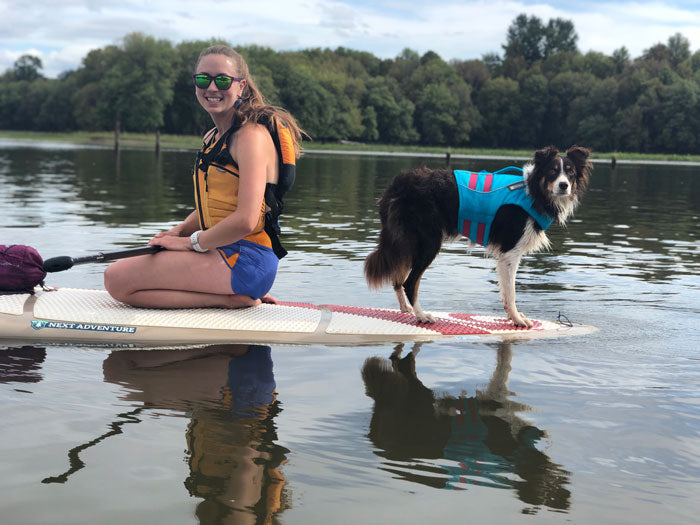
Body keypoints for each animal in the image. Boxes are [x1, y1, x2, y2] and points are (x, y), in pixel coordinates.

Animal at [366, 145, 592, 326]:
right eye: (552, 171)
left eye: (570, 173)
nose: (564, 186)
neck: (533, 192)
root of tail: (398, 184)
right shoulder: (510, 252)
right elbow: (511, 292)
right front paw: (517, 319)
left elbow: (506, 292)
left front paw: (513, 317)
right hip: (428, 242)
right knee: (410, 282)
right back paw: (422, 315)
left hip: (408, 241)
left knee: (398, 278)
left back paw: (406, 309)